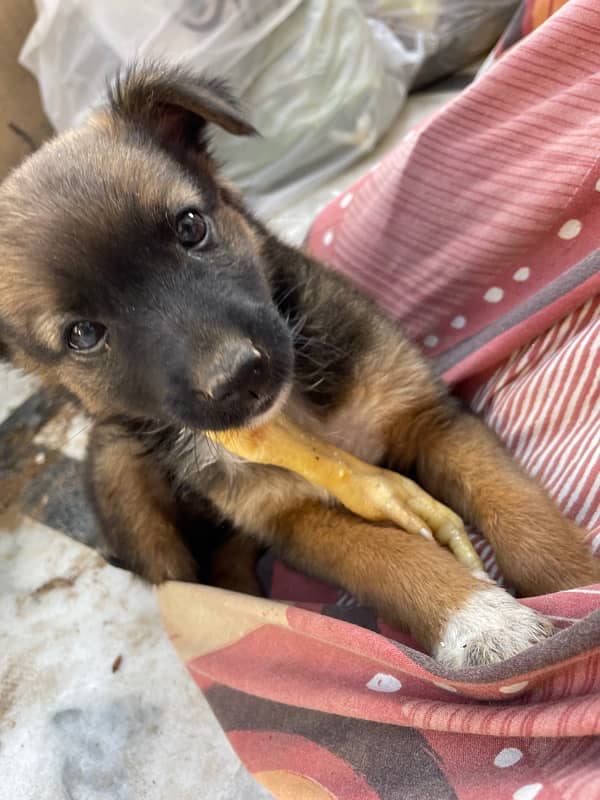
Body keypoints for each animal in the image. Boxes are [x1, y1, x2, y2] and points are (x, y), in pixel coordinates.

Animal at [2, 62, 596, 664]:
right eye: (82, 335)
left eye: (190, 227)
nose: (239, 378)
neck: (295, 412)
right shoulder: (293, 517)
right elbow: (388, 557)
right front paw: (480, 621)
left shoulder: (423, 414)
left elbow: (514, 502)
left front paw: (574, 582)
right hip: (124, 479)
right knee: (197, 572)